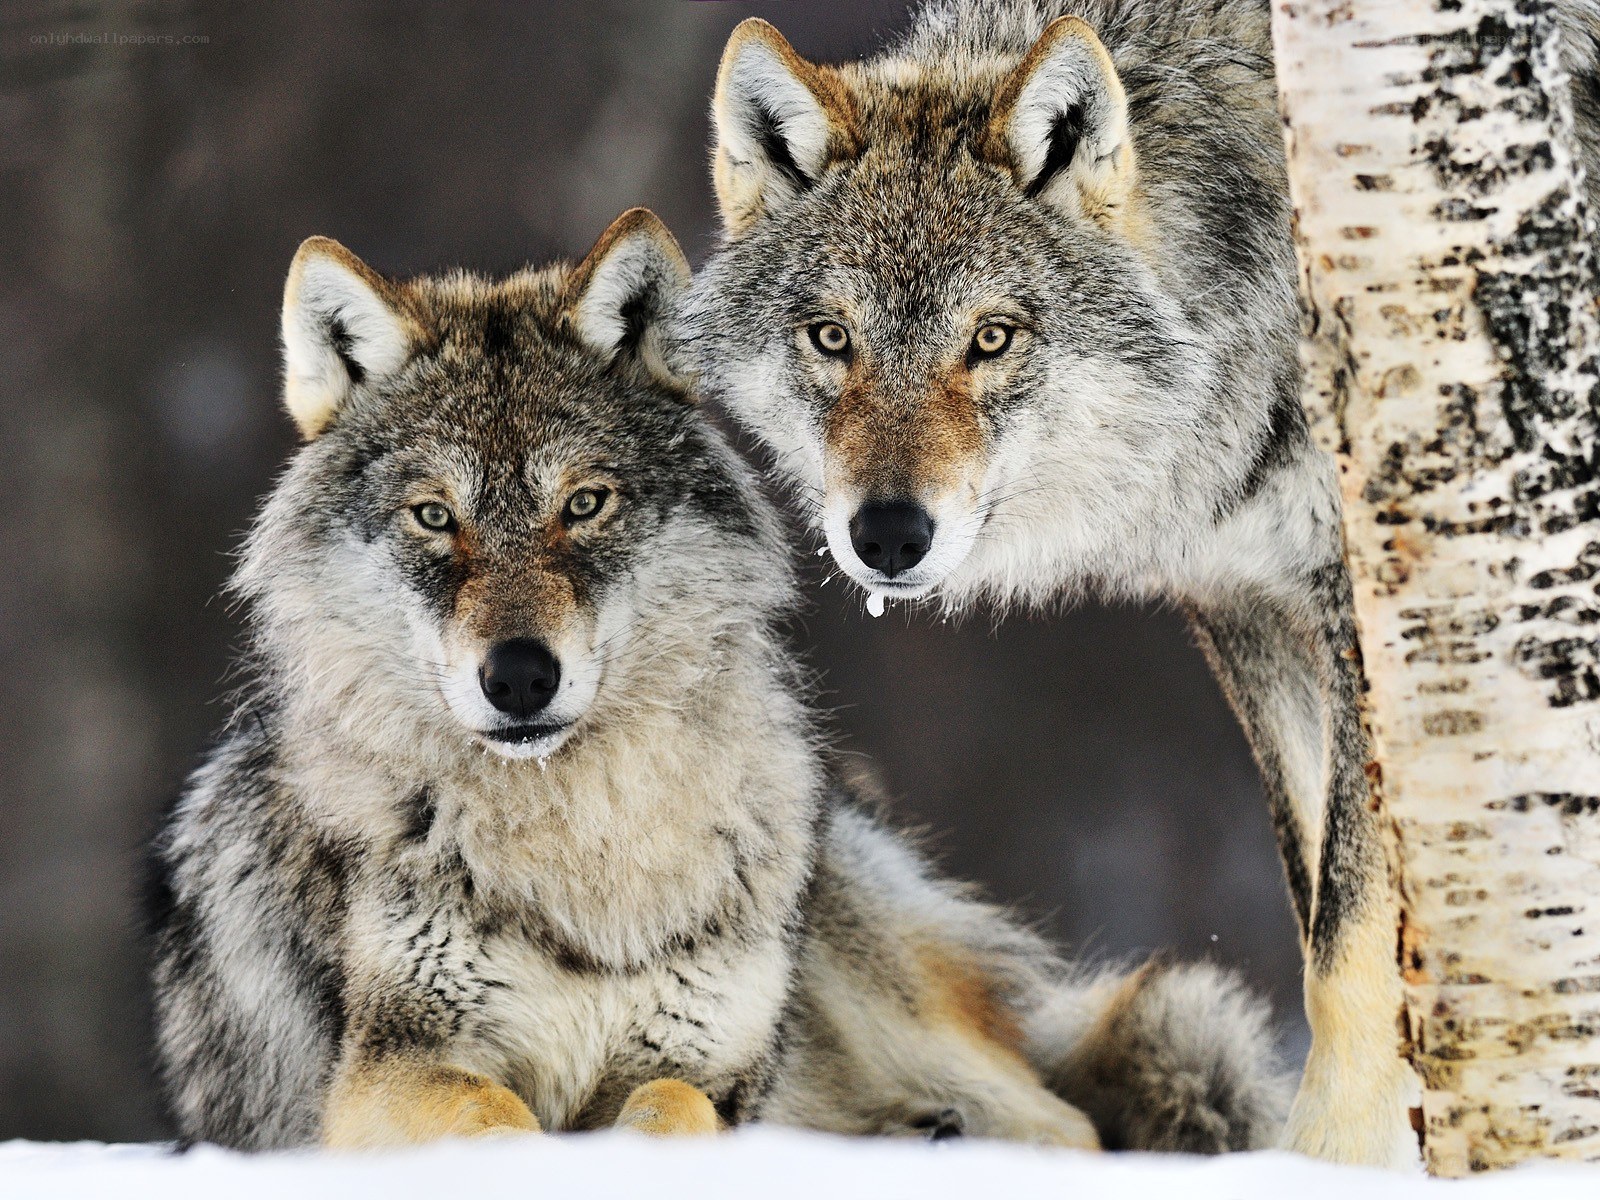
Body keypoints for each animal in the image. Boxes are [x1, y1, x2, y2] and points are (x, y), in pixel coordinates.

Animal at [146, 210, 1287, 1153]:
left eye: (585, 503)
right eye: (435, 518)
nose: (519, 677)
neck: (586, 843)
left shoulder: (703, 1063)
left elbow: (668, 1109)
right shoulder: (386, 1075)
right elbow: (497, 1116)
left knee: (1071, 1126)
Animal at [680, 0, 1600, 1167]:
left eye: (992, 338)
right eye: (831, 339)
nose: (886, 535)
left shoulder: (1358, 605)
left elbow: (1348, 936)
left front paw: (1330, 1162)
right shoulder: (1250, 605)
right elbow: (1315, 901)